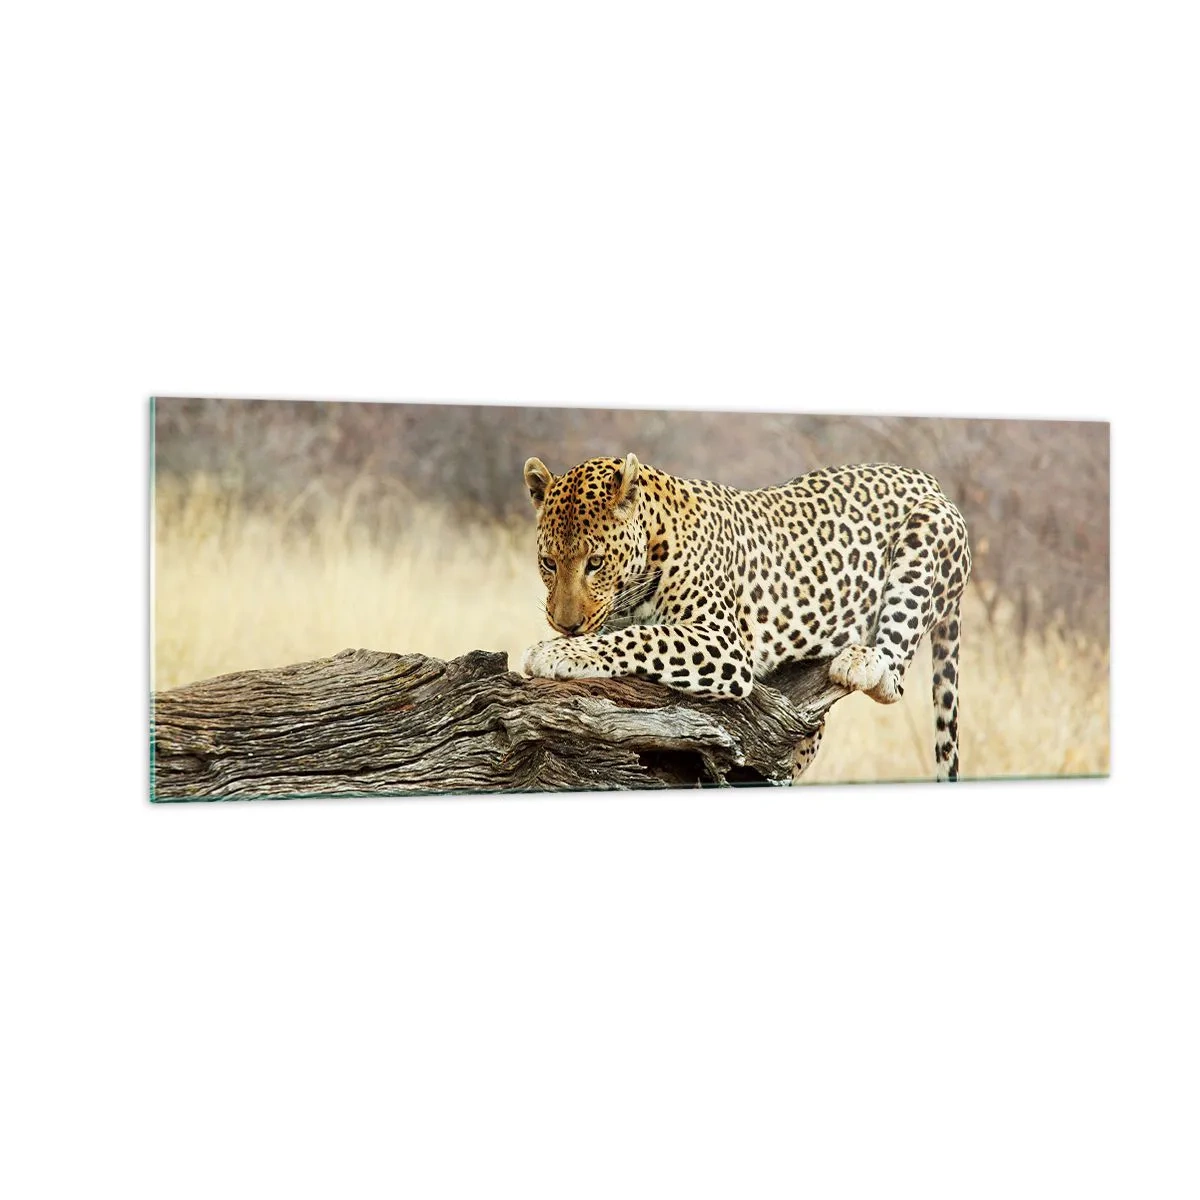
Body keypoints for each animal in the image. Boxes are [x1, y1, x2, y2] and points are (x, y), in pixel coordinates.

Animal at [520, 453, 972, 782]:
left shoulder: (723, 642)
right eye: (548, 563)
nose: (565, 624)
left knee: (893, 676)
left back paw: (861, 661)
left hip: (926, 532)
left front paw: (556, 653)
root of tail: (929, 480)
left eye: (595, 563)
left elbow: (642, 638)